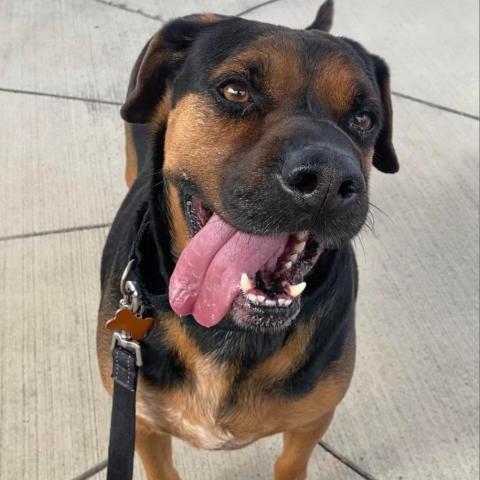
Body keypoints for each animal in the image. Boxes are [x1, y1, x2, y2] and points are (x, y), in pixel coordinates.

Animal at [96, 1, 398, 478]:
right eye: (236, 91)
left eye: (364, 118)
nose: (329, 181)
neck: (226, 329)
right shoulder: (141, 423)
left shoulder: (312, 420)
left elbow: (291, 463)